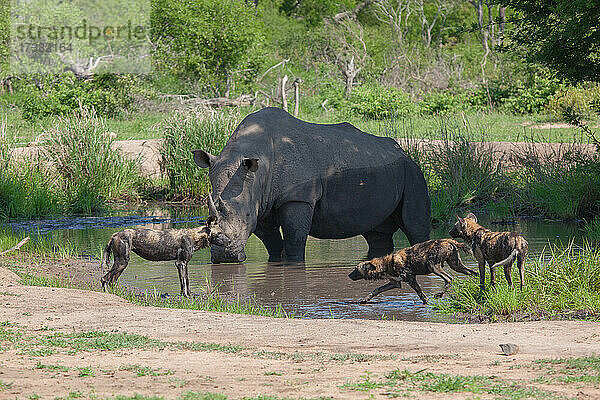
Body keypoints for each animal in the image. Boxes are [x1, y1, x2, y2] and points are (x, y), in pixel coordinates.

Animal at [98, 211, 230, 296]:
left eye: (222, 232)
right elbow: (183, 282)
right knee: (104, 279)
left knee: (112, 280)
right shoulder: (180, 263)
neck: (194, 236)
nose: (229, 241)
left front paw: (189, 294)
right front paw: (186, 296)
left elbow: (186, 280)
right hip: (122, 262)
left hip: (121, 264)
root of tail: (115, 234)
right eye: (219, 233)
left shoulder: (184, 264)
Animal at [346, 239, 478, 304]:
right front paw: (365, 299)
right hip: (457, 266)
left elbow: (420, 293)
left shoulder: (410, 279)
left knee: (449, 279)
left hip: (433, 267)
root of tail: (448, 240)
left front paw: (426, 302)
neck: (386, 264)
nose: (348, 275)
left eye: (355, 269)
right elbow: (376, 290)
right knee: (473, 273)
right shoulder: (395, 283)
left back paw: (439, 294)